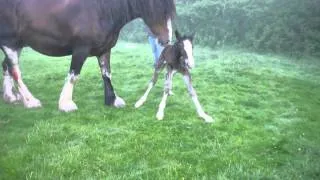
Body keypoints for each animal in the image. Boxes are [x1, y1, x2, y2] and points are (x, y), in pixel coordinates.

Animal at [0, 0, 175, 112]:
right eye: (159, 10)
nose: (167, 40)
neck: (101, 12)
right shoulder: (81, 49)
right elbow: (74, 75)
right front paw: (66, 104)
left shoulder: (104, 50)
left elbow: (106, 74)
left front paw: (112, 100)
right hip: (10, 43)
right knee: (15, 71)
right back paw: (30, 101)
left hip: (18, 45)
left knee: (6, 66)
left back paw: (10, 97)